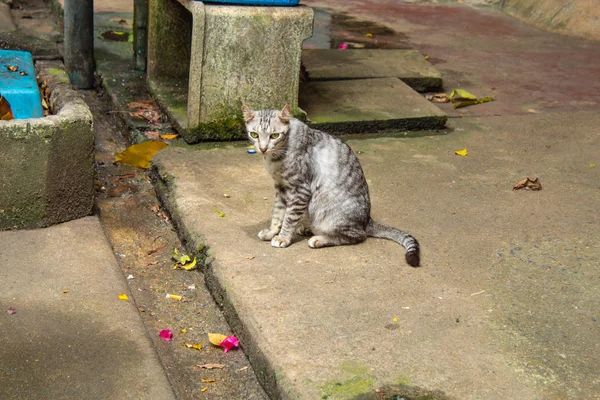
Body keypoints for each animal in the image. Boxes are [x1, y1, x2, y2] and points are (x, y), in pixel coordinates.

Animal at [241, 103, 420, 268]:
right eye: (254, 134)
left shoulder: (300, 190)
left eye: (274, 135)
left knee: (357, 236)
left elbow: (289, 217)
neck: (276, 158)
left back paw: (319, 239)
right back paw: (306, 228)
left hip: (329, 215)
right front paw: (272, 232)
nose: (263, 148)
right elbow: (277, 214)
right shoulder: (281, 187)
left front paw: (283, 237)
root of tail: (367, 220)